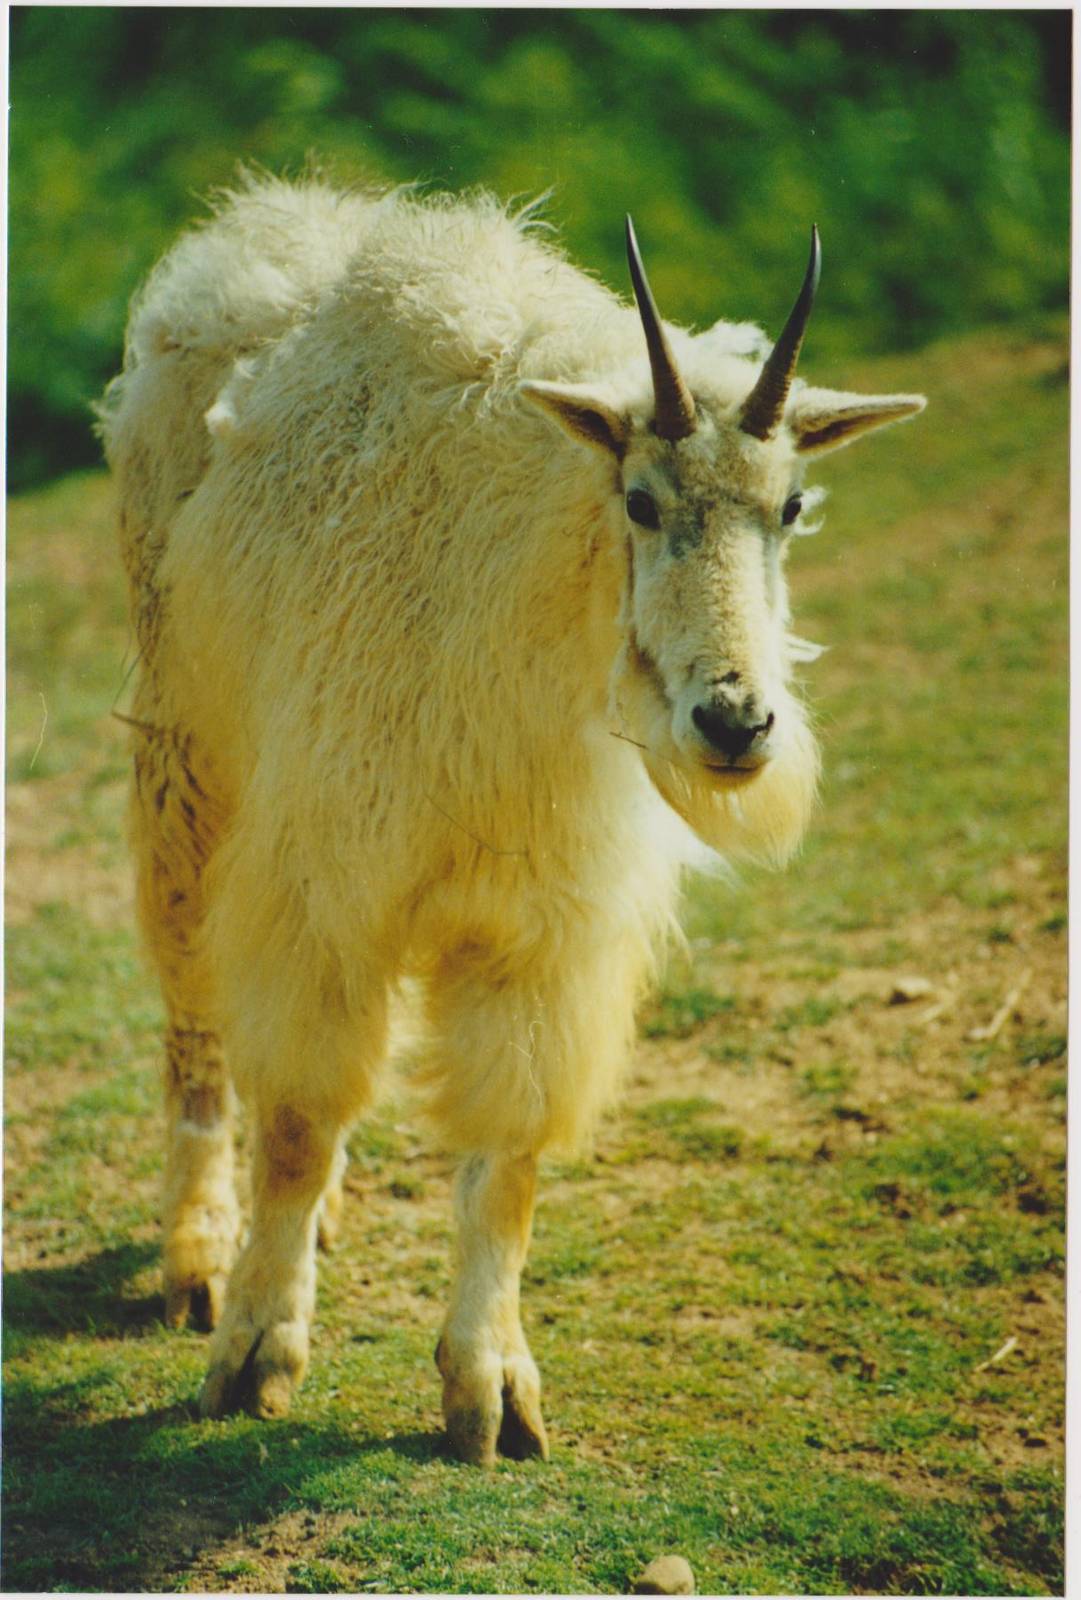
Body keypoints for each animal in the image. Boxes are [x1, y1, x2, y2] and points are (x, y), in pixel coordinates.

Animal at [100, 174, 924, 1465]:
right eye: (638, 499)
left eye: (790, 506)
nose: (735, 721)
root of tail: (238, 238)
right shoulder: (325, 883)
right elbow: (297, 1116)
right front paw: (254, 1353)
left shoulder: (540, 930)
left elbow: (507, 1159)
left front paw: (490, 1393)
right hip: (187, 756)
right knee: (195, 1018)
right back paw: (195, 1255)